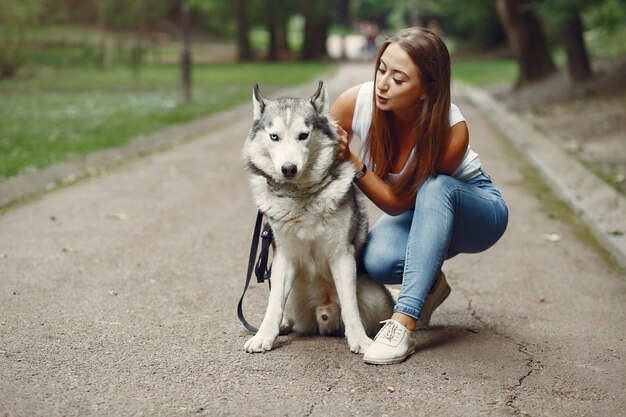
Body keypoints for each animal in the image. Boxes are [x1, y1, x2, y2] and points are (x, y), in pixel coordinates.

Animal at [239, 79, 390, 352]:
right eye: (274, 137)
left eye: (303, 135)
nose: (288, 169)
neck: (301, 197)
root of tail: (323, 308)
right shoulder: (284, 257)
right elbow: (273, 304)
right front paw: (264, 336)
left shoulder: (342, 255)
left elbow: (350, 306)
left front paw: (360, 340)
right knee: (284, 309)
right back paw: (284, 326)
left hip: (374, 295)